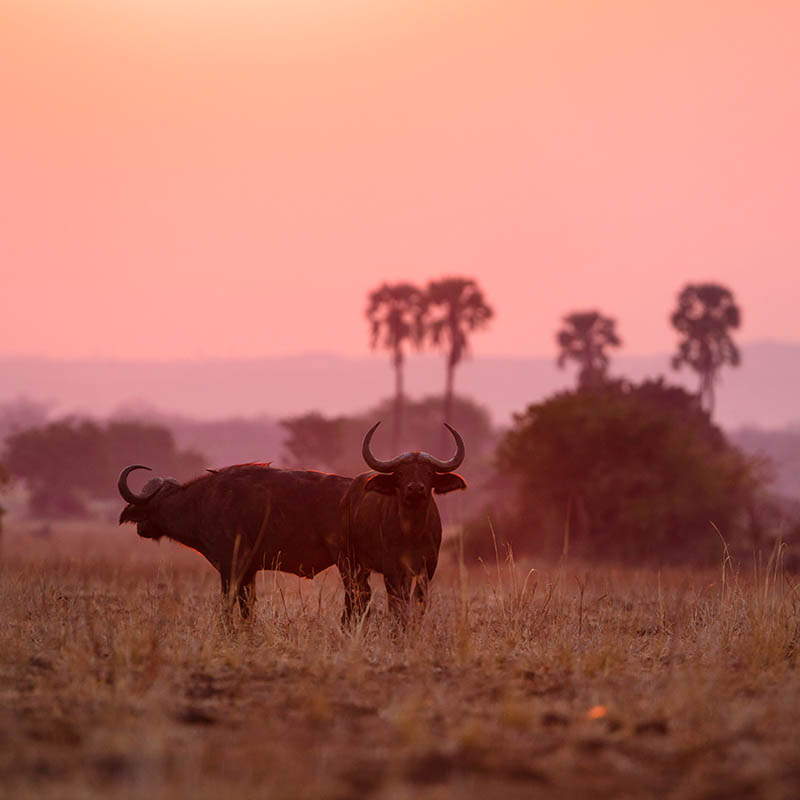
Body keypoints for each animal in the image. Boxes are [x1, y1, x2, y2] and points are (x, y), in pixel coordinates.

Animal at [118, 466, 350, 616]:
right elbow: (247, 604)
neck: (199, 503)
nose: (140, 528)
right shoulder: (248, 571)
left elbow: (228, 601)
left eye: (151, 505)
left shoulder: (231, 565)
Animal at [340, 422, 468, 620]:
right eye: (400, 473)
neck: (412, 532)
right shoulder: (391, 567)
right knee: (354, 593)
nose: (415, 488)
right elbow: (397, 602)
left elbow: (418, 600)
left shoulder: (427, 567)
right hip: (349, 560)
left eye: (428, 472)